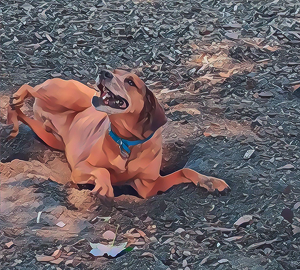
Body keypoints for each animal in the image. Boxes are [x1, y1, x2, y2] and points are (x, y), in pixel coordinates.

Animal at [6, 69, 230, 198]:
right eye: (115, 71)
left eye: (130, 82)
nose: (104, 71)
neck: (127, 142)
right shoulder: (79, 169)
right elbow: (102, 171)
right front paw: (105, 186)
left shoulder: (149, 187)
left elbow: (185, 171)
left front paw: (209, 181)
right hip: (65, 95)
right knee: (30, 87)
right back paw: (17, 99)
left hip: (48, 135)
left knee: (26, 115)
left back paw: (13, 117)